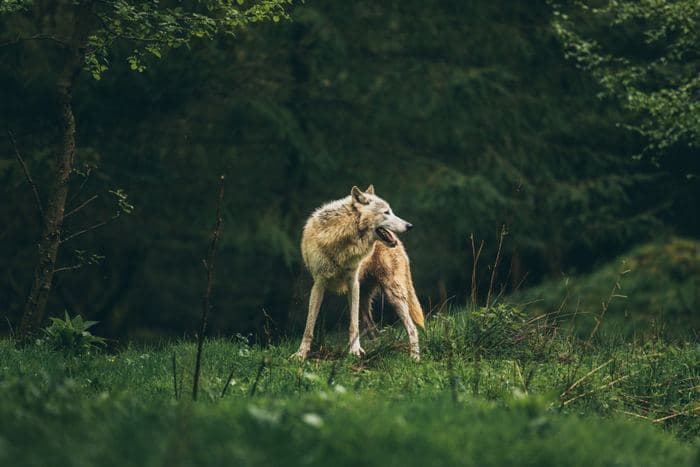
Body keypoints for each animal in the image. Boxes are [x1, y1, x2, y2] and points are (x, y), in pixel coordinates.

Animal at [293, 185, 425, 361]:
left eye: (391, 211)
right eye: (386, 212)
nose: (410, 226)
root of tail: (399, 244)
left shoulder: (352, 283)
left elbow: (353, 325)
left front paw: (355, 351)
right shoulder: (319, 284)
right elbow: (309, 325)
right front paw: (301, 354)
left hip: (393, 294)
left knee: (412, 328)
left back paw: (414, 358)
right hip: (366, 301)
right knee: (373, 329)